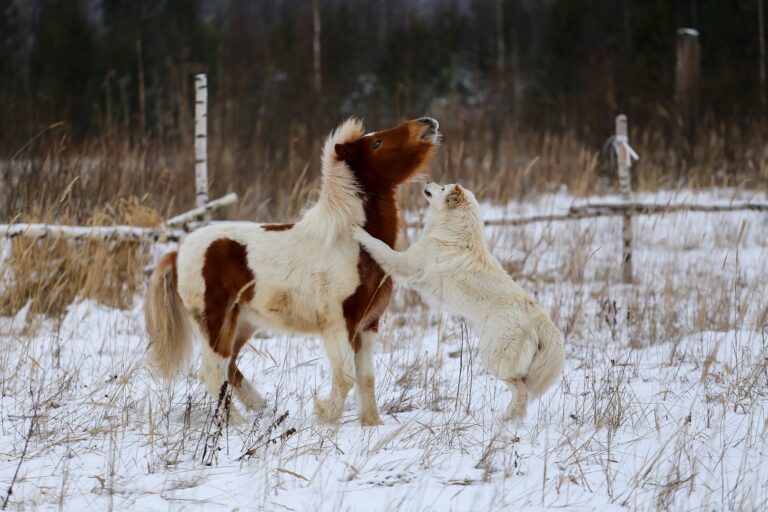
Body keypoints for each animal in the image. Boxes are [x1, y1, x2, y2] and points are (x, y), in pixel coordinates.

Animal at [144, 117, 441, 425]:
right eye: (377, 143)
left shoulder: (368, 325)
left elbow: (366, 378)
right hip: (216, 324)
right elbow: (346, 378)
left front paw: (372, 425)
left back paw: (260, 408)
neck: (347, 241)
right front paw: (325, 414)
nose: (427, 123)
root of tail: (177, 253)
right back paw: (238, 425)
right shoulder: (339, 326)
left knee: (229, 367)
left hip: (243, 323)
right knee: (213, 372)